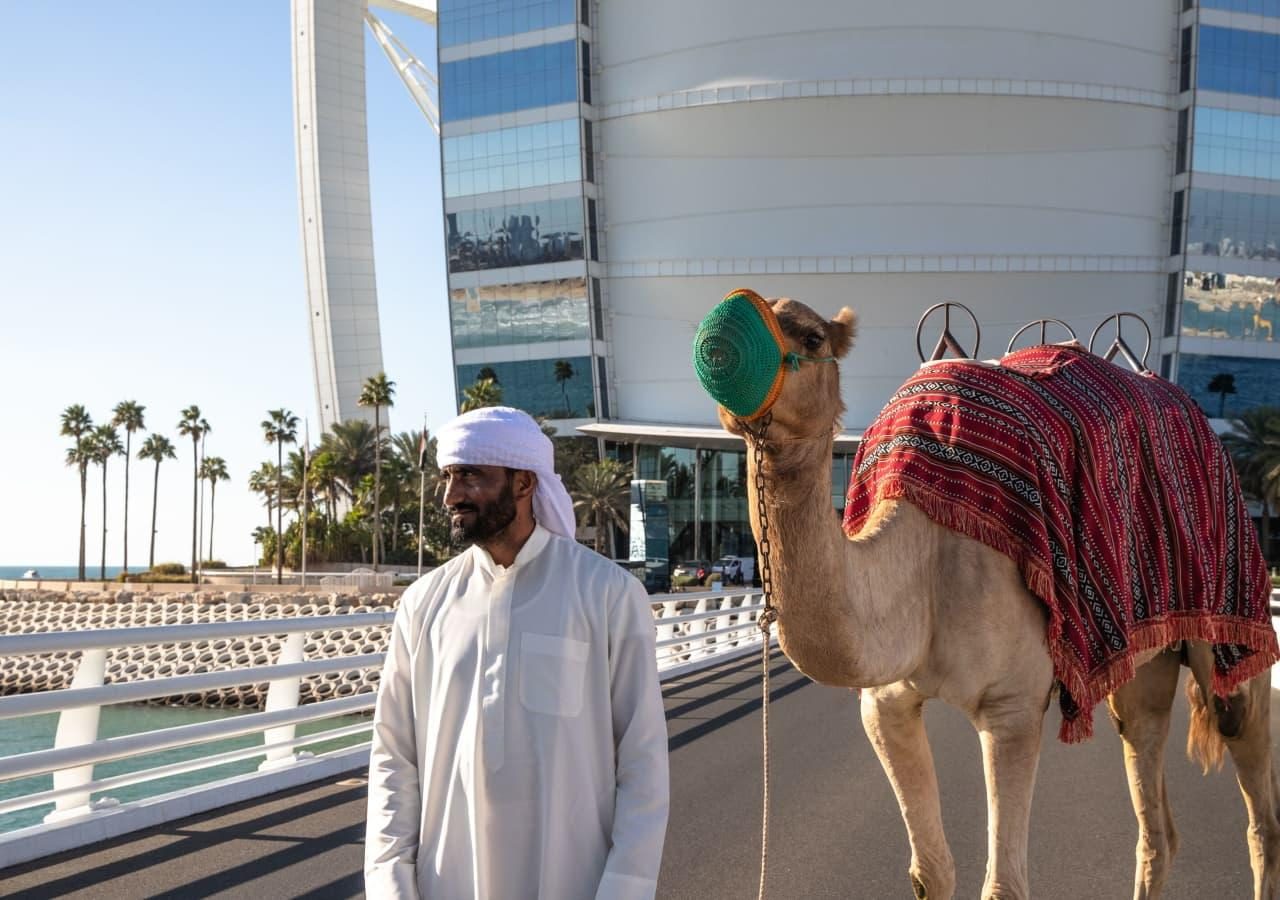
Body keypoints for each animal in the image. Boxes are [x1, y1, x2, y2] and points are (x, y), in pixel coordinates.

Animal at [716, 297, 1280, 900]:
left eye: (812, 336)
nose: (723, 341)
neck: (924, 559)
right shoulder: (884, 702)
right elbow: (930, 872)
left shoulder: (1013, 707)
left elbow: (1004, 884)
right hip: (1143, 663)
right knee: (1155, 816)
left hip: (1231, 609)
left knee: (1252, 786)